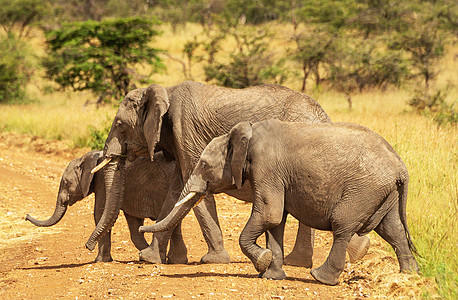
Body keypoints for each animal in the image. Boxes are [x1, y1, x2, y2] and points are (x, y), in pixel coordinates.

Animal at [25, 150, 188, 262]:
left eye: (65, 183)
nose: (26, 216)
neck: (89, 157)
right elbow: (134, 224)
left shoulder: (102, 183)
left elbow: (99, 214)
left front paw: (99, 261)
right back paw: (174, 260)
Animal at [88, 81, 368, 264]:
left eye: (119, 125)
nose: (88, 247)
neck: (164, 90)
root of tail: (326, 117)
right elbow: (178, 191)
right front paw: (149, 258)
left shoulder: (185, 129)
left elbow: (194, 192)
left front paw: (213, 260)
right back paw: (310, 260)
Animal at [142, 119, 418, 286]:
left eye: (204, 165)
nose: (143, 227)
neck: (246, 132)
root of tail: (401, 166)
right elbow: (276, 222)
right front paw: (271, 276)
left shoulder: (267, 167)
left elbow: (269, 214)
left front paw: (262, 261)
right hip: (383, 192)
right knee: (393, 230)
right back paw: (410, 274)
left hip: (363, 190)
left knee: (343, 226)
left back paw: (320, 277)